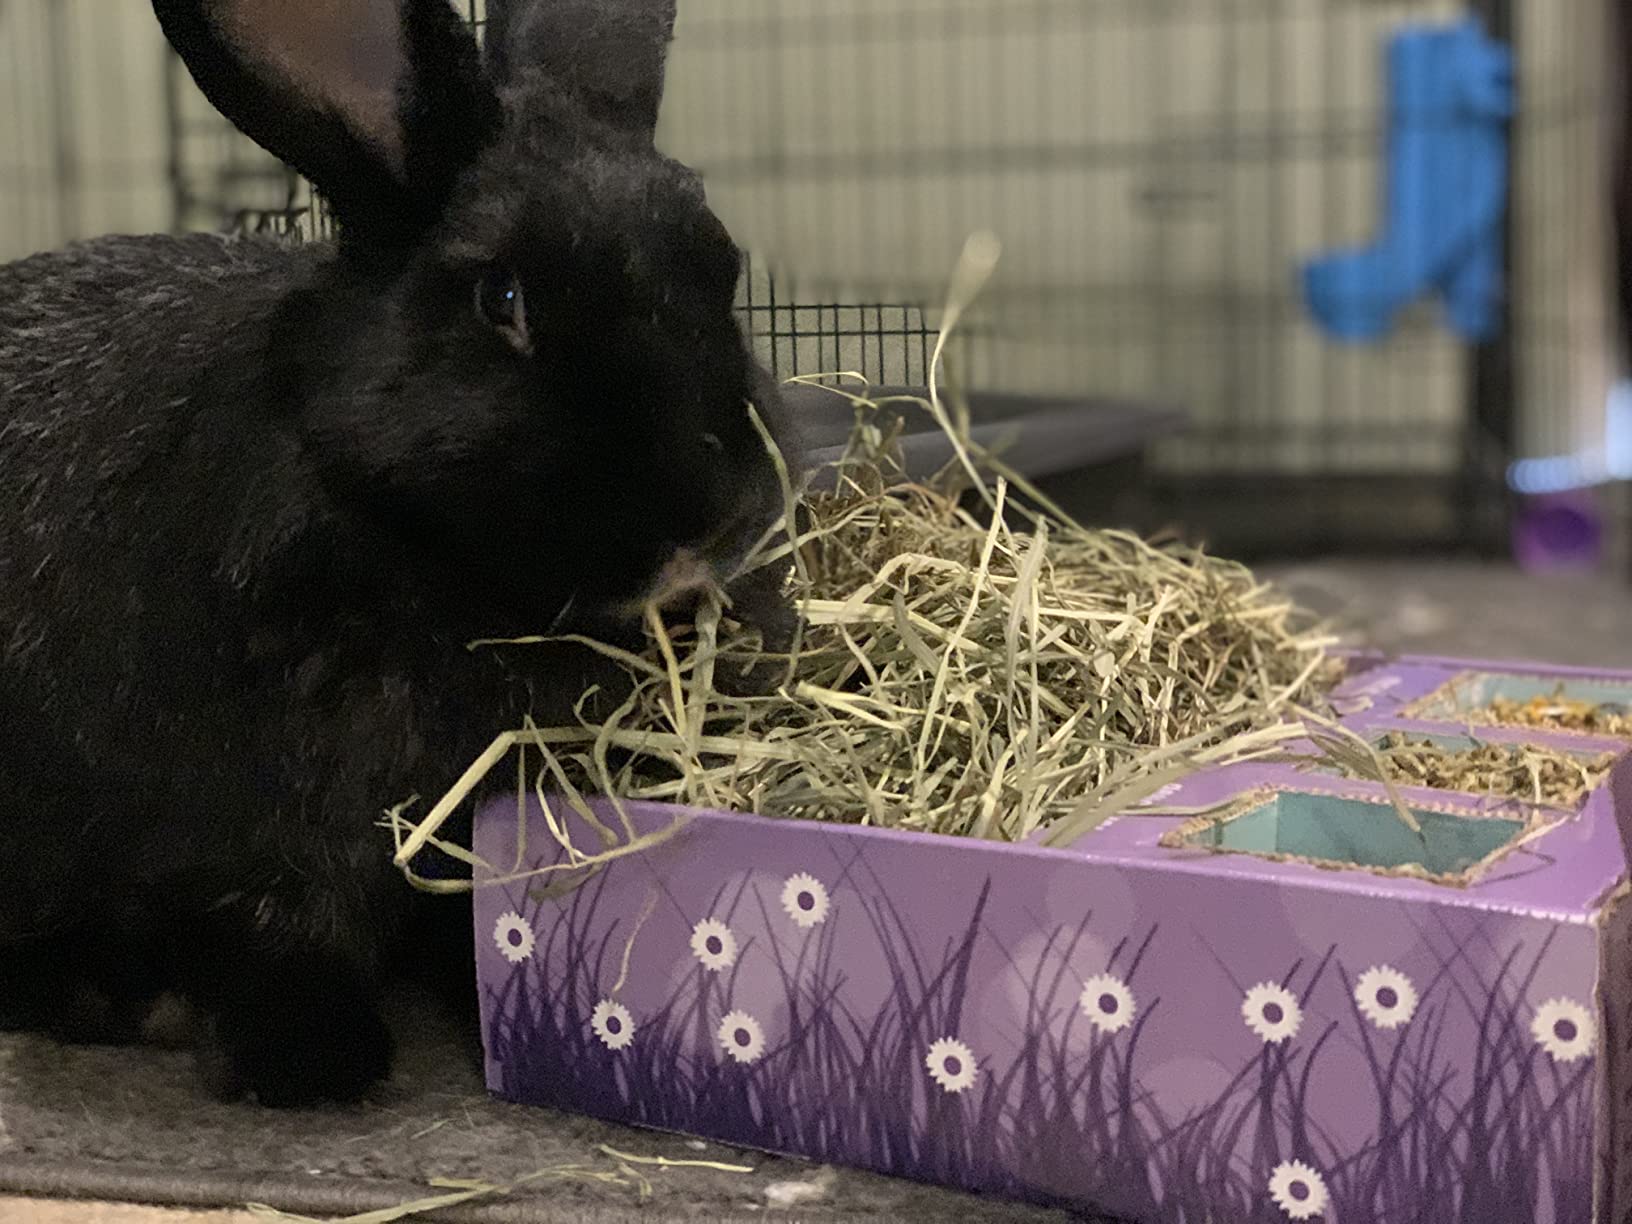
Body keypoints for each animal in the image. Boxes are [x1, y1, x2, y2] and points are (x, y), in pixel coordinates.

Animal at [0, 0, 795, 1106]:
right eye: (502, 300)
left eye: (723, 270)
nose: (712, 518)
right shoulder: (270, 830)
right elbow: (286, 929)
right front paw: (306, 1060)